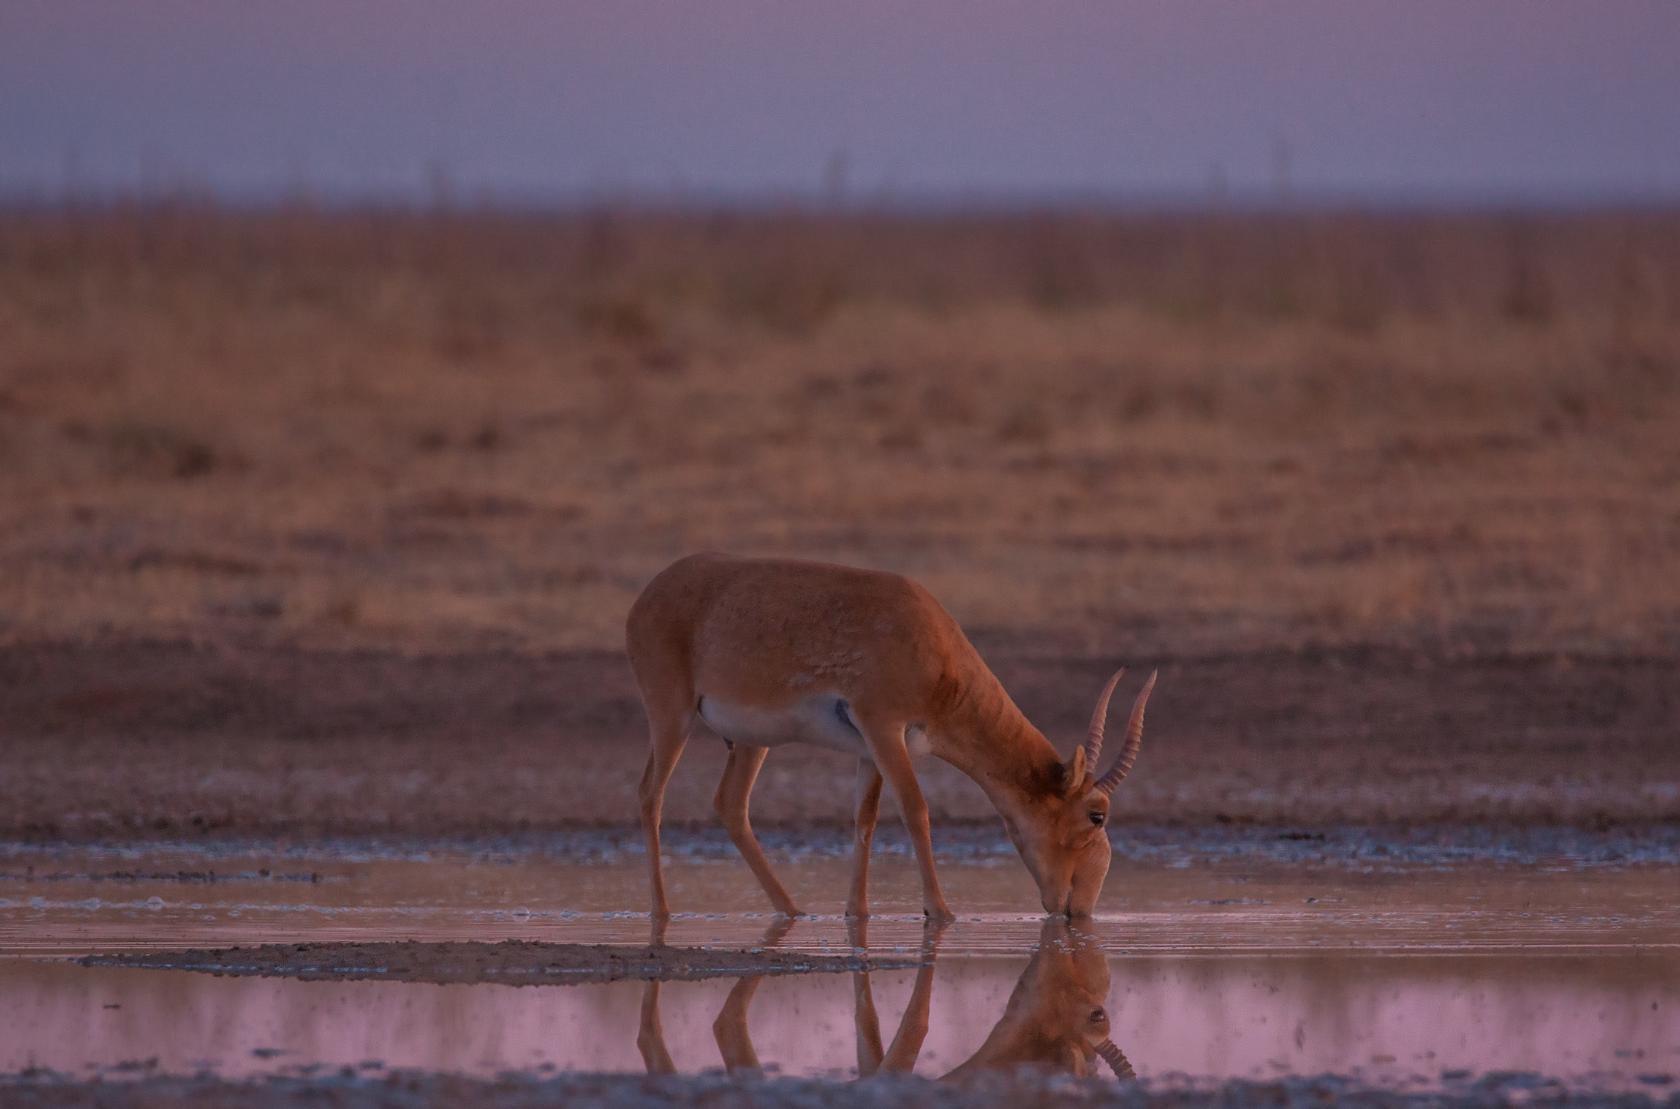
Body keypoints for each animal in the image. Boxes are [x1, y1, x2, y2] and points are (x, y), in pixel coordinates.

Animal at [624, 551, 1162, 920]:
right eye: (1096, 815)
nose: (1081, 907)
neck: (934, 647)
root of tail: (647, 595)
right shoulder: (884, 726)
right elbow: (916, 809)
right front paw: (940, 911)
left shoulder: (869, 747)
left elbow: (865, 817)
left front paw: (857, 913)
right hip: (671, 714)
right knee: (650, 793)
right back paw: (661, 911)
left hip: (751, 740)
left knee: (730, 805)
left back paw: (793, 910)